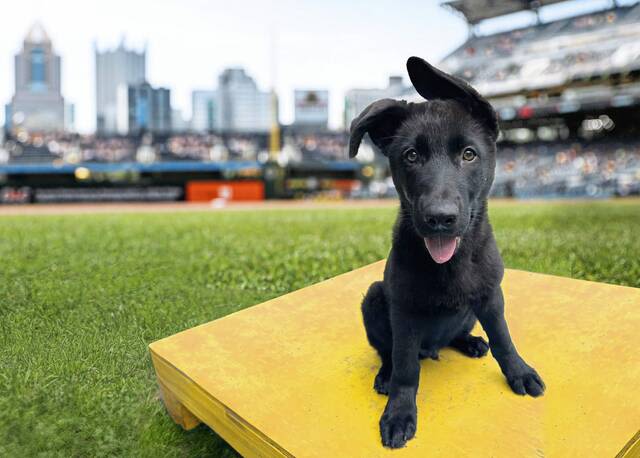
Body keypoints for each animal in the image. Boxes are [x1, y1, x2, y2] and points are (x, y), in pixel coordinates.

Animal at [350, 56, 544, 448]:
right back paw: (385, 374)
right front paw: (399, 413)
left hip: (467, 313)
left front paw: (518, 371)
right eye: (410, 156)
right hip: (375, 297)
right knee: (389, 351)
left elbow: (503, 337)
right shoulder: (404, 311)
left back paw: (469, 342)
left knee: (459, 334)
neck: (449, 262)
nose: (440, 218)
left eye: (469, 154)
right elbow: (406, 367)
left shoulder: (491, 294)